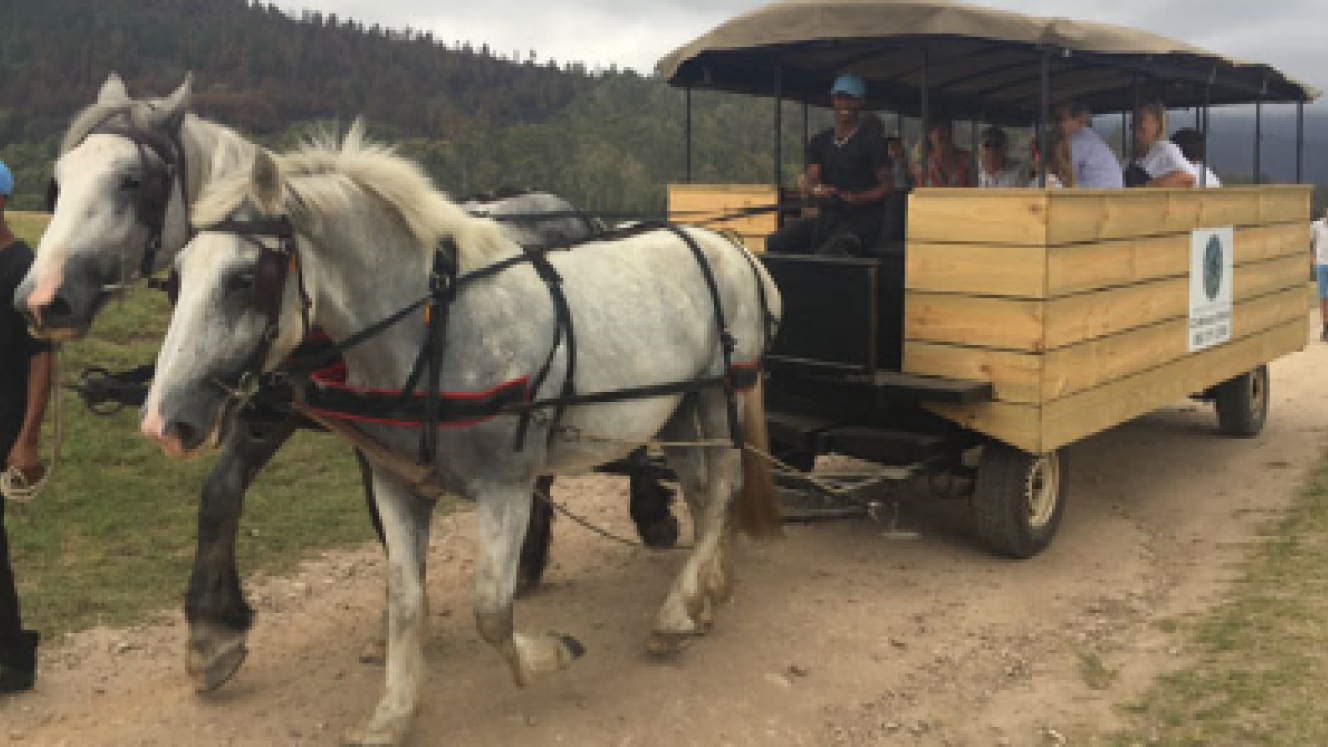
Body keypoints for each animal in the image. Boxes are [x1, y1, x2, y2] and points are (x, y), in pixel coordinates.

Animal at [9, 74, 674, 693]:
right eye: (57, 183)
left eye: (131, 181)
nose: (41, 301)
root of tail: (569, 208)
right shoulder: (266, 397)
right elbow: (223, 491)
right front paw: (213, 631)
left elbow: (364, 514)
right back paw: (532, 556)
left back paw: (647, 515)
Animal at [140, 133, 783, 745]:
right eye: (174, 280)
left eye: (244, 278)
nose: (164, 422)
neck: (436, 333)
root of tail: (734, 250)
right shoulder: (397, 485)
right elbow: (406, 601)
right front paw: (392, 714)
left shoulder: (507, 486)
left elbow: (491, 611)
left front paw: (550, 654)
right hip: (672, 409)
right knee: (701, 490)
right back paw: (706, 592)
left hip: (719, 392)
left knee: (724, 486)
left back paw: (676, 614)